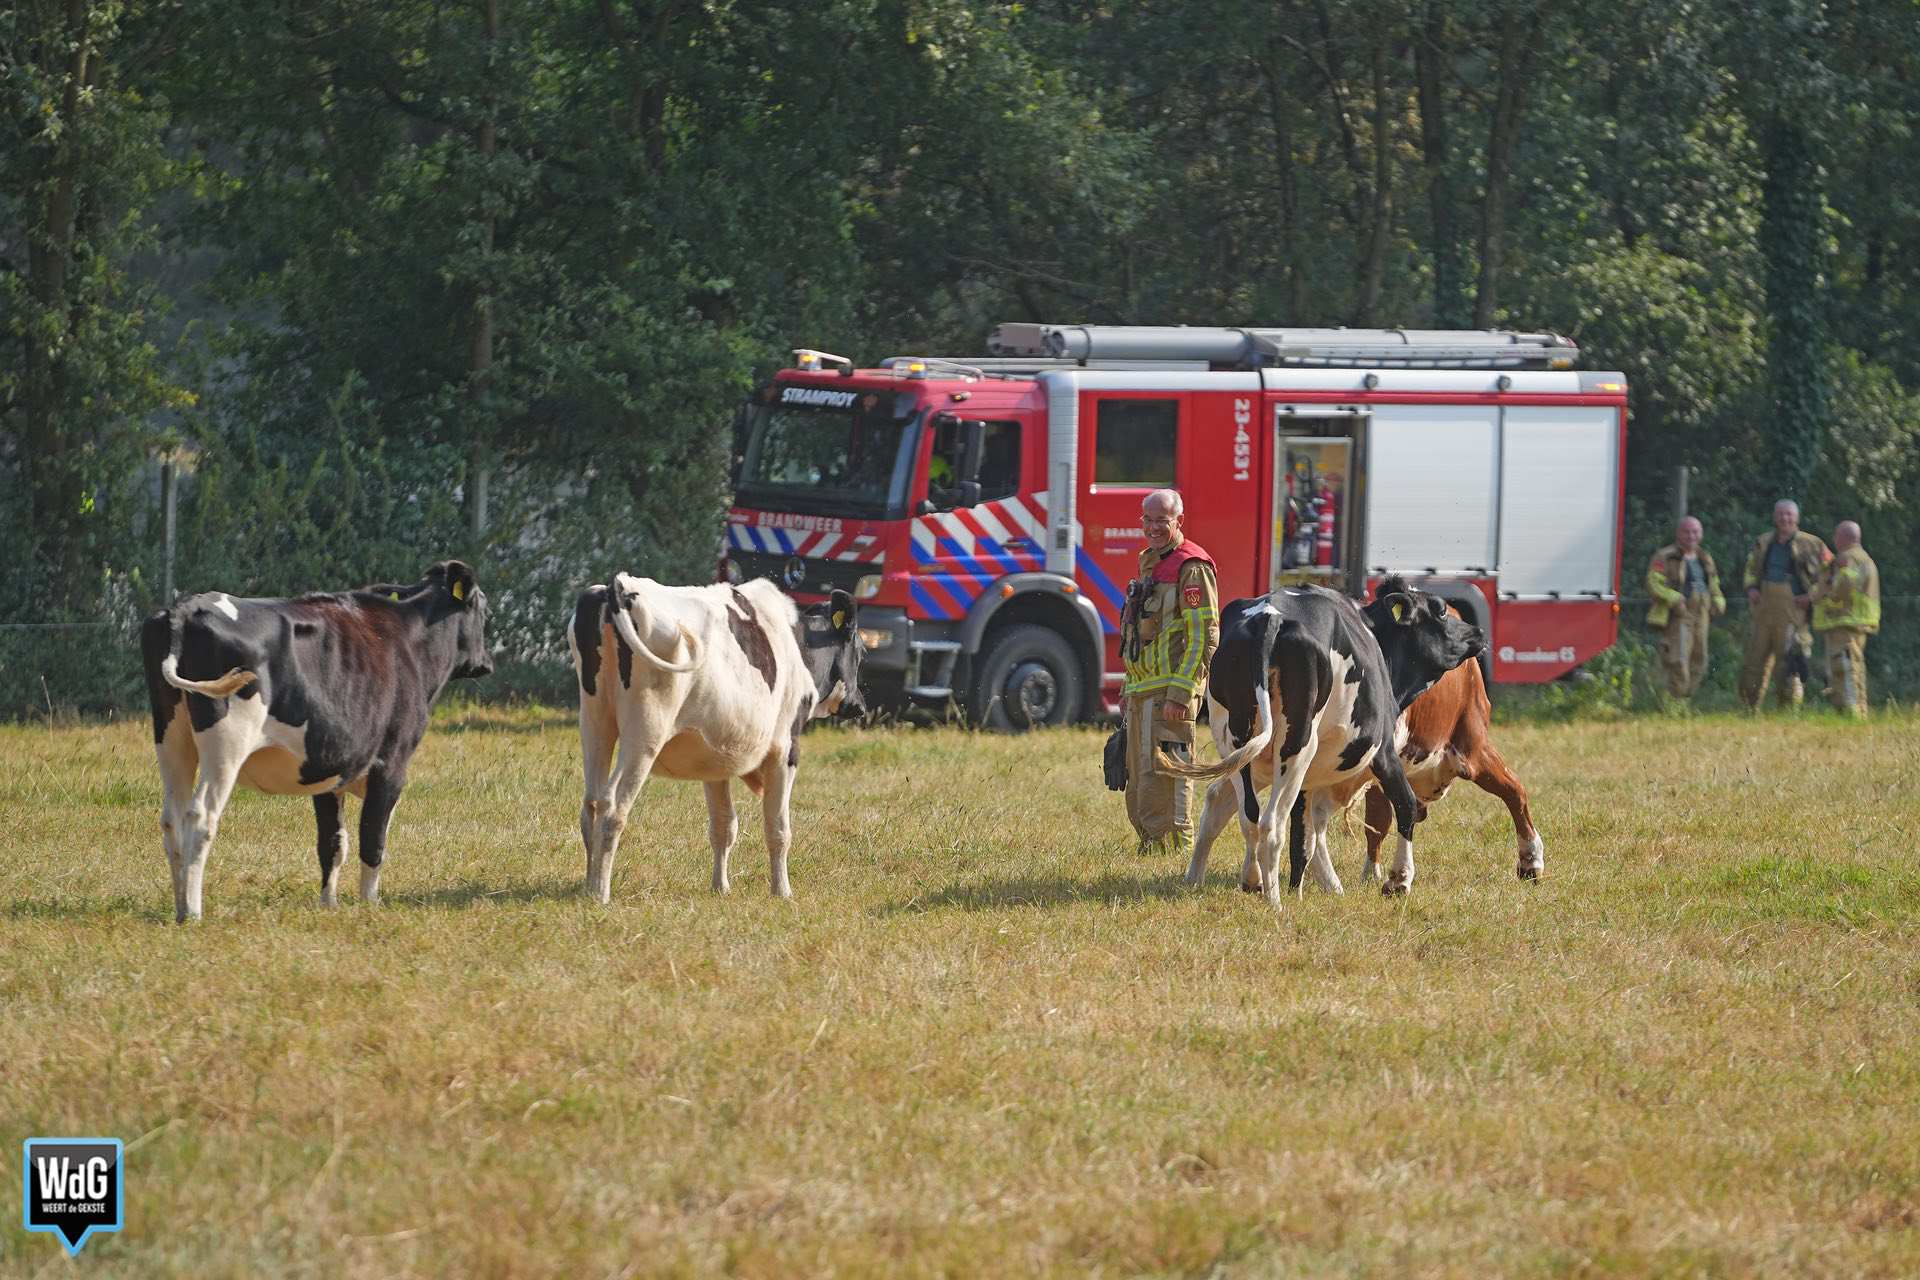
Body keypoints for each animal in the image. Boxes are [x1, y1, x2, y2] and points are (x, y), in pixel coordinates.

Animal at [139, 560, 491, 921]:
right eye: (486, 611)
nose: (487, 663)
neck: (410, 640)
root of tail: (188, 606)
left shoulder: (329, 770)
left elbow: (332, 843)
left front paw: (329, 904)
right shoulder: (391, 765)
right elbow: (372, 838)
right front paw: (370, 904)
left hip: (172, 736)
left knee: (172, 819)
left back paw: (180, 906)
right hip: (226, 740)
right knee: (200, 817)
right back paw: (193, 913)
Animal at [560, 575, 864, 905]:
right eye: (860, 652)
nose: (859, 706)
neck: (794, 643)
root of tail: (619, 585)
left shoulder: (715, 758)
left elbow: (723, 825)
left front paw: (720, 887)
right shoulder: (785, 750)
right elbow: (778, 829)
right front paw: (782, 892)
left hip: (595, 721)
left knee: (591, 804)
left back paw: (588, 885)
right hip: (645, 732)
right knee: (612, 806)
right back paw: (599, 893)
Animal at [1152, 579, 1482, 909]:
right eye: (1440, 610)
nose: (1477, 632)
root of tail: (1269, 617)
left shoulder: (1305, 780)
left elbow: (1306, 832)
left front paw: (1310, 885)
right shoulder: (1384, 754)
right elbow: (1405, 804)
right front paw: (1399, 879)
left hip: (1238, 744)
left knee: (1247, 815)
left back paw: (1239, 880)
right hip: (1296, 748)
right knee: (1271, 823)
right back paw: (1274, 902)